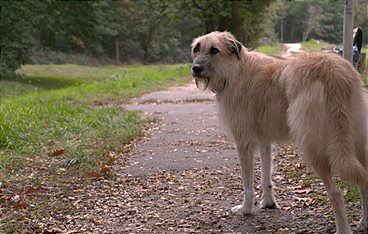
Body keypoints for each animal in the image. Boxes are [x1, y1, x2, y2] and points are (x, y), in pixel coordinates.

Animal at [191, 31, 368, 234]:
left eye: (214, 50)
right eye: (196, 49)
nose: (195, 68)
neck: (235, 70)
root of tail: (334, 72)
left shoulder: (244, 143)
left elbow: (247, 184)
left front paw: (246, 209)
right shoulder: (264, 141)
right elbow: (266, 176)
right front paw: (268, 203)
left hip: (313, 146)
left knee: (336, 192)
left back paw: (343, 228)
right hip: (357, 142)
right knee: (364, 182)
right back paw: (364, 222)